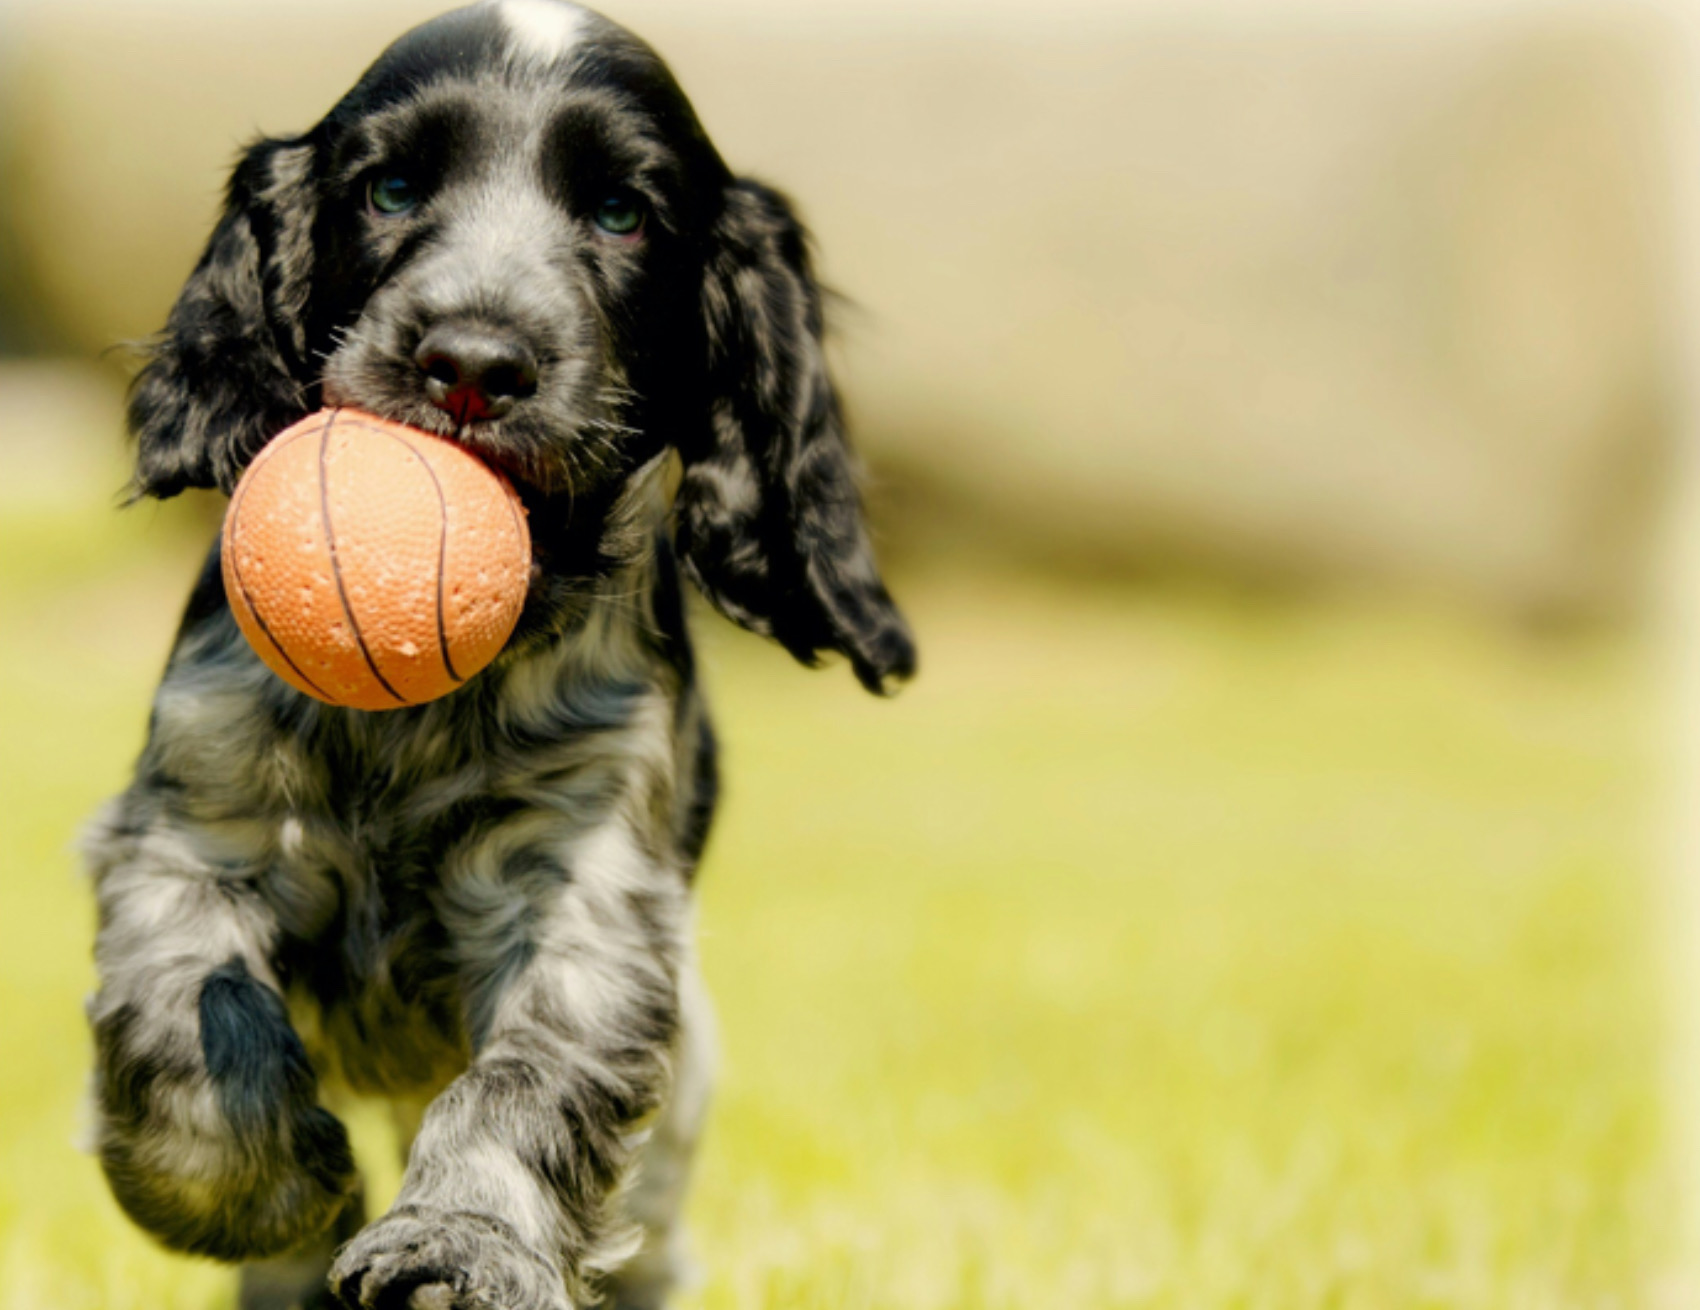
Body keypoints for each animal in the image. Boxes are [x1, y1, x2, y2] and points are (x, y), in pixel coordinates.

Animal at [79, 5, 911, 1304]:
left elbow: (524, 1080)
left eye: (621, 213)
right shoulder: (193, 820)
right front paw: (274, 1193)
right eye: (389, 189)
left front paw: (457, 1244)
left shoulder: (581, 885)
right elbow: (181, 1008)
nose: (472, 362)